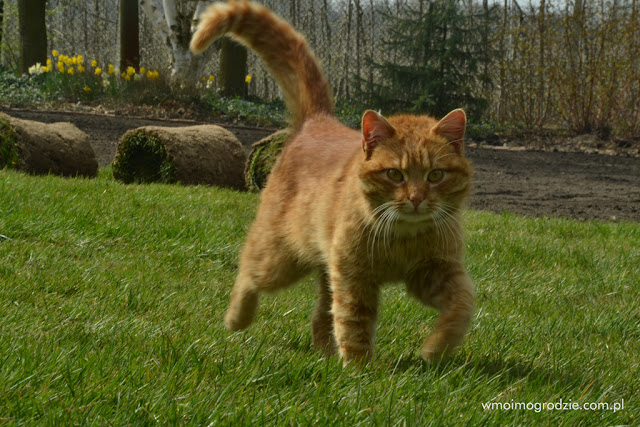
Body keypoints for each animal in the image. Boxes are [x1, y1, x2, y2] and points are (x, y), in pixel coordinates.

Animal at [192, 1, 472, 366]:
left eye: (435, 175)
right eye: (395, 174)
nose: (415, 198)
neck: (403, 240)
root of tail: (318, 119)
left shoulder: (434, 273)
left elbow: (462, 305)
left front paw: (436, 348)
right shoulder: (355, 278)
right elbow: (354, 321)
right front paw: (358, 368)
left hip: (327, 267)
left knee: (320, 313)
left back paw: (324, 352)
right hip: (281, 258)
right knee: (248, 270)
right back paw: (236, 319)